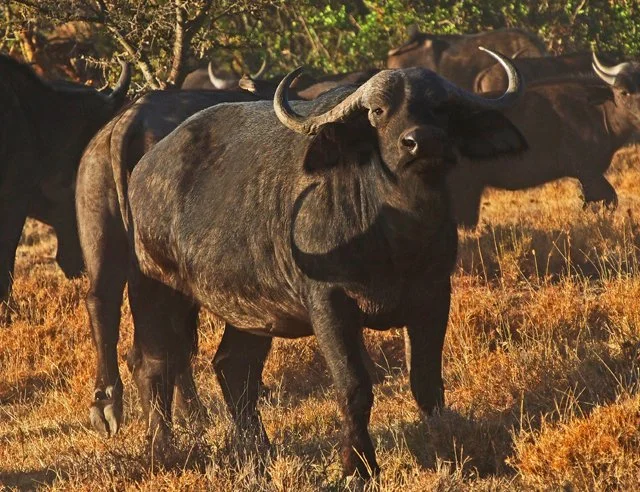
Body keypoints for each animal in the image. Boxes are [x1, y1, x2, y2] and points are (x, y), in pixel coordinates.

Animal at [108, 49, 527, 476]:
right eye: (378, 110)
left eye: (440, 108)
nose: (420, 142)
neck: (395, 231)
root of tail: (144, 168)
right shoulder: (330, 304)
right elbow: (354, 386)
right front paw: (357, 465)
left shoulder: (434, 296)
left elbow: (427, 383)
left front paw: (446, 450)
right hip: (155, 289)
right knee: (153, 362)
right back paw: (163, 449)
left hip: (253, 307)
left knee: (234, 365)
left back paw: (256, 449)